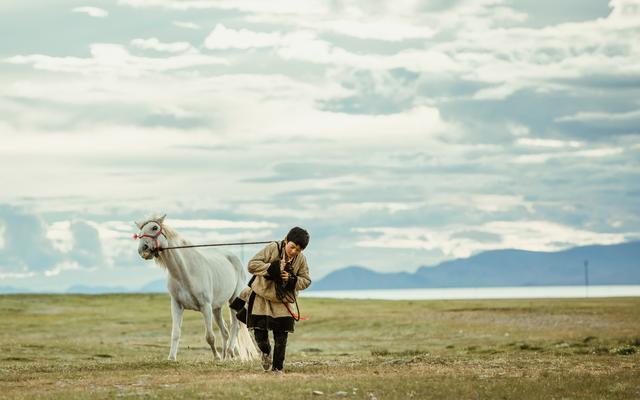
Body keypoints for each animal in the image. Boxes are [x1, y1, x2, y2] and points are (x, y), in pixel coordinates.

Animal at [134, 214, 258, 360]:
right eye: (140, 232)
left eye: (154, 227)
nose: (143, 249)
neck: (186, 273)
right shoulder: (177, 306)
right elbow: (175, 333)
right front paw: (171, 358)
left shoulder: (206, 307)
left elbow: (210, 336)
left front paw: (216, 358)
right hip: (216, 308)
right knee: (225, 331)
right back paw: (225, 357)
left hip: (233, 300)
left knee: (235, 326)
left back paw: (229, 352)